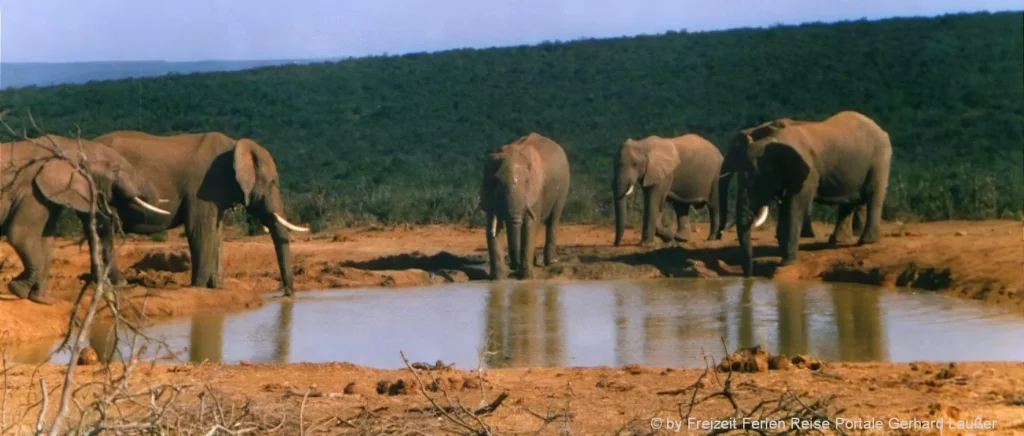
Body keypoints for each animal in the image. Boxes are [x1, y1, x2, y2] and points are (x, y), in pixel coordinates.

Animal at [1, 135, 171, 302]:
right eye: (115, 170)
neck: (68, 145)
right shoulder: (31, 188)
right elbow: (22, 235)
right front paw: (18, 289)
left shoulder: (49, 191)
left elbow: (46, 240)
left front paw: (40, 299)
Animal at [86, 131, 309, 294]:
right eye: (273, 182)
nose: (286, 294)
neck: (235, 144)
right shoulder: (204, 185)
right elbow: (200, 230)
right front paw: (199, 286)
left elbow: (216, 232)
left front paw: (216, 286)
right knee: (105, 227)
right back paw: (118, 283)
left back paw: (97, 281)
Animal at [477, 133, 569, 278]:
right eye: (496, 182)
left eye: (527, 181)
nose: (514, 267)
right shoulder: (489, 193)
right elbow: (493, 226)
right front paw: (498, 278)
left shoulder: (536, 191)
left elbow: (530, 226)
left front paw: (527, 277)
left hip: (563, 186)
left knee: (554, 218)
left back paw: (551, 262)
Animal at [716, 112, 892, 276]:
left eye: (758, 179)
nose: (748, 276)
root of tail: (880, 129)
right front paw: (783, 256)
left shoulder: (809, 172)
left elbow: (794, 207)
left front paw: (787, 263)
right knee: (848, 201)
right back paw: (837, 241)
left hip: (880, 158)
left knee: (873, 194)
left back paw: (866, 242)